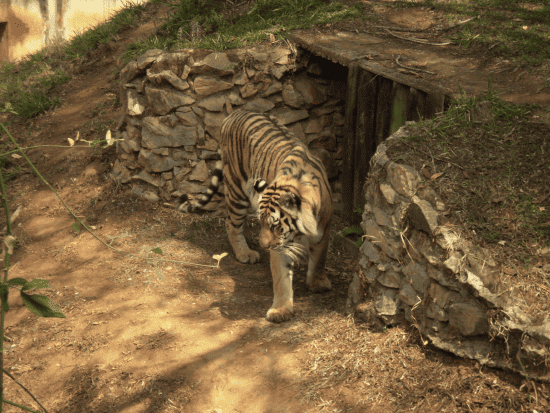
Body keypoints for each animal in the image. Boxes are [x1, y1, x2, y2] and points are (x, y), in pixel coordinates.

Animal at [176, 109, 332, 322]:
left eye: (275, 225)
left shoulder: (323, 231)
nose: (263, 246)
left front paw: (318, 283)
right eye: (262, 223)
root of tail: (235, 112)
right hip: (236, 190)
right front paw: (280, 310)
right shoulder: (279, 246)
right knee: (231, 224)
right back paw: (245, 253)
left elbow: (320, 260)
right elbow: (281, 277)